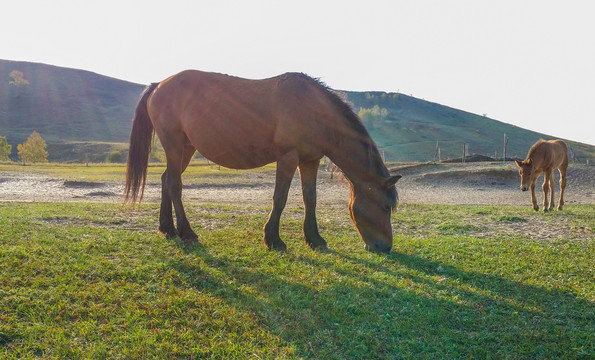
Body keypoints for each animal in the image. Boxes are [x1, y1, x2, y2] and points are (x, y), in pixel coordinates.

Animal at [124, 70, 400, 253]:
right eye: (386, 206)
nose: (385, 247)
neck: (313, 109)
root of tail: (159, 85)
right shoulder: (288, 157)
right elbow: (280, 197)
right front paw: (273, 239)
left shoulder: (310, 160)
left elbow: (310, 198)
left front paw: (314, 239)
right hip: (173, 144)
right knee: (174, 184)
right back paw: (187, 232)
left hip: (186, 148)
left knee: (166, 180)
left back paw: (168, 229)